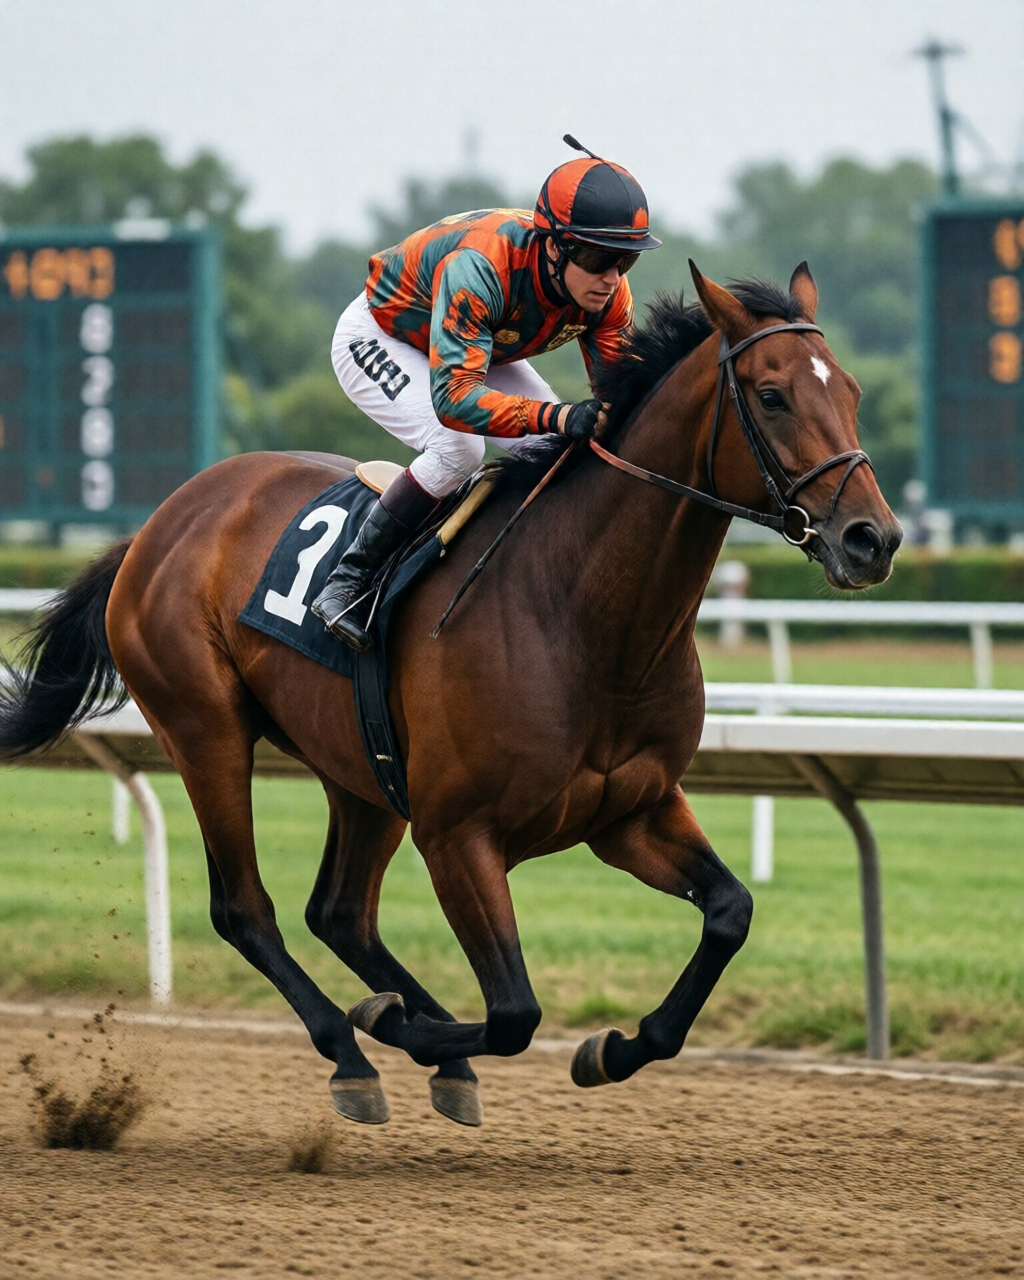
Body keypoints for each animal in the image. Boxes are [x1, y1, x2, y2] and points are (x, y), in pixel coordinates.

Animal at [0, 264, 902, 1127]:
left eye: (853, 391)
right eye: (773, 395)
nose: (875, 538)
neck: (585, 615)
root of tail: (156, 526)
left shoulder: (630, 812)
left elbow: (729, 912)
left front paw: (611, 1048)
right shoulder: (458, 835)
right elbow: (514, 1012)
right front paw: (396, 1025)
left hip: (361, 770)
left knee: (338, 912)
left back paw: (423, 1046)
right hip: (205, 729)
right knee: (245, 909)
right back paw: (355, 1051)